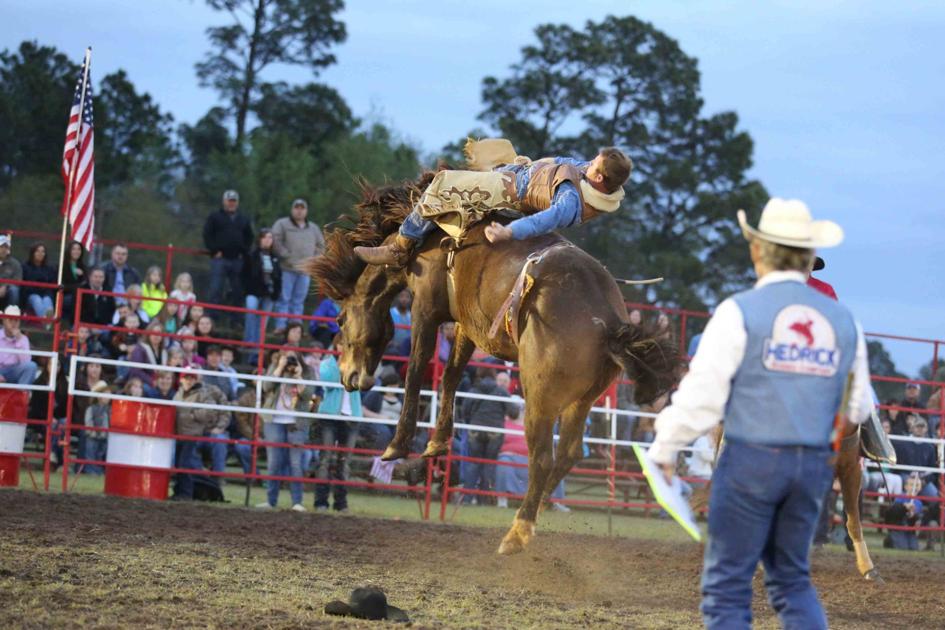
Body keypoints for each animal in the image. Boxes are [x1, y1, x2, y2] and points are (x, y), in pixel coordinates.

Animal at [306, 175, 684, 556]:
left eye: (339, 320)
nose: (350, 378)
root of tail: (609, 322)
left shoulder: (425, 307)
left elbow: (416, 371)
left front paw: (398, 445)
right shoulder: (467, 323)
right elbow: (452, 375)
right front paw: (437, 443)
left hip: (540, 396)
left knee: (543, 458)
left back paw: (517, 533)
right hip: (581, 400)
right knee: (568, 453)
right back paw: (530, 513)